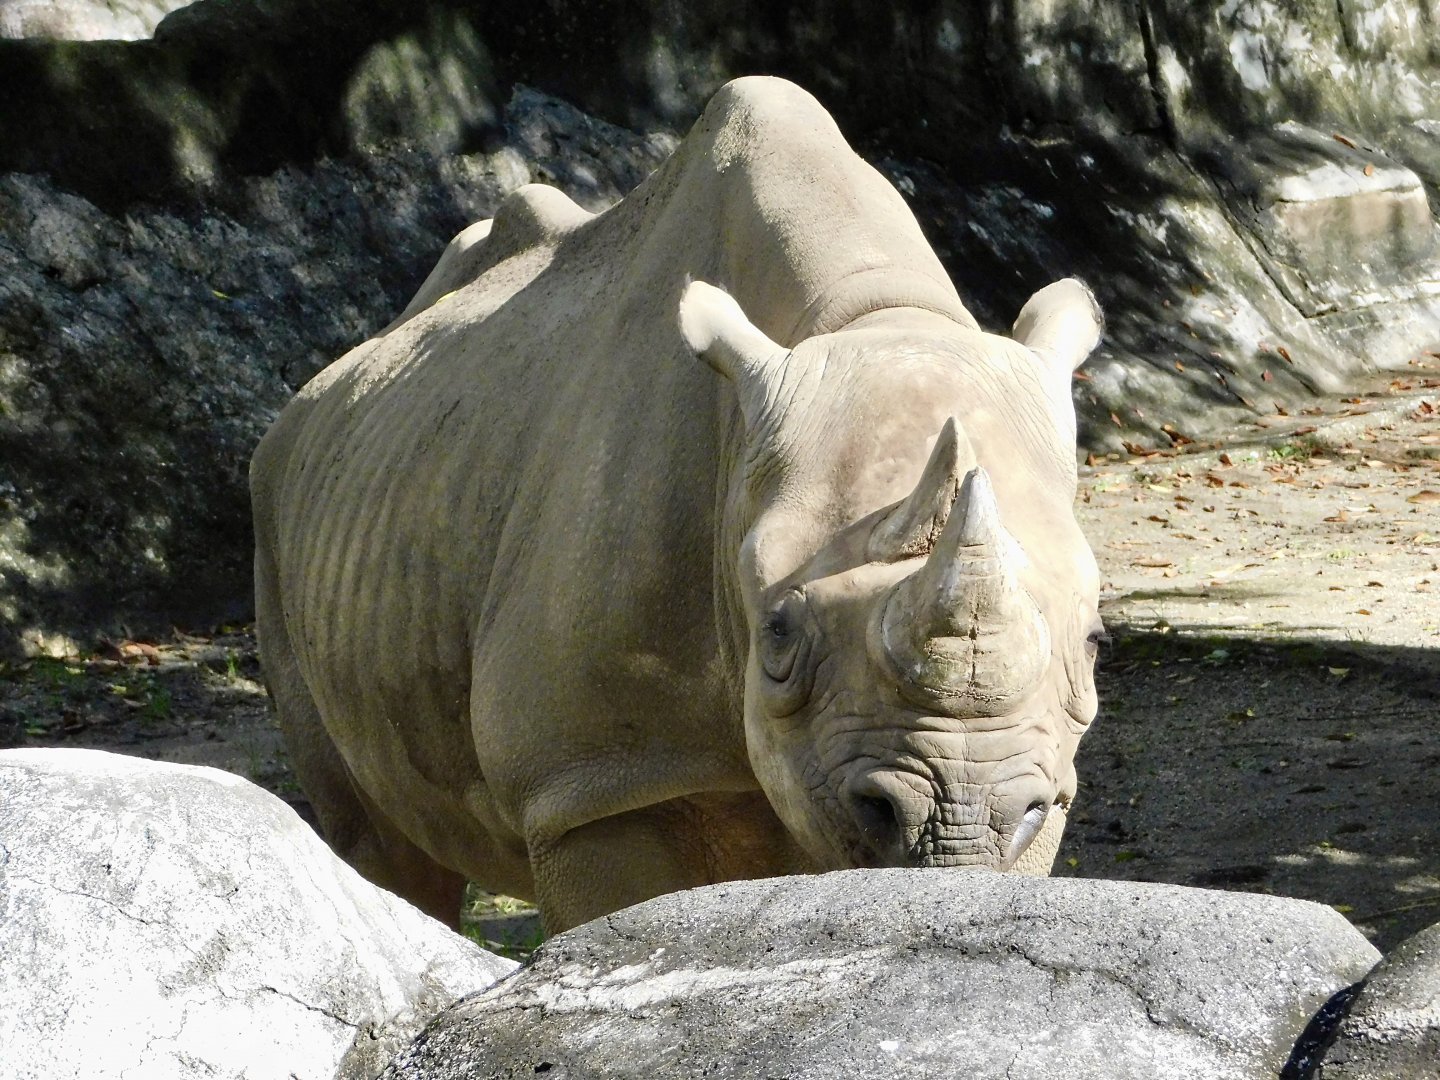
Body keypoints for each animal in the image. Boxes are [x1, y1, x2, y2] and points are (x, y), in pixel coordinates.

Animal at [250, 76, 1105, 933]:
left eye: (1095, 640)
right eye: (777, 629)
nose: (949, 816)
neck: (870, 316)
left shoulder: (1037, 789)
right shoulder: (592, 780)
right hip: (279, 504)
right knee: (380, 846)